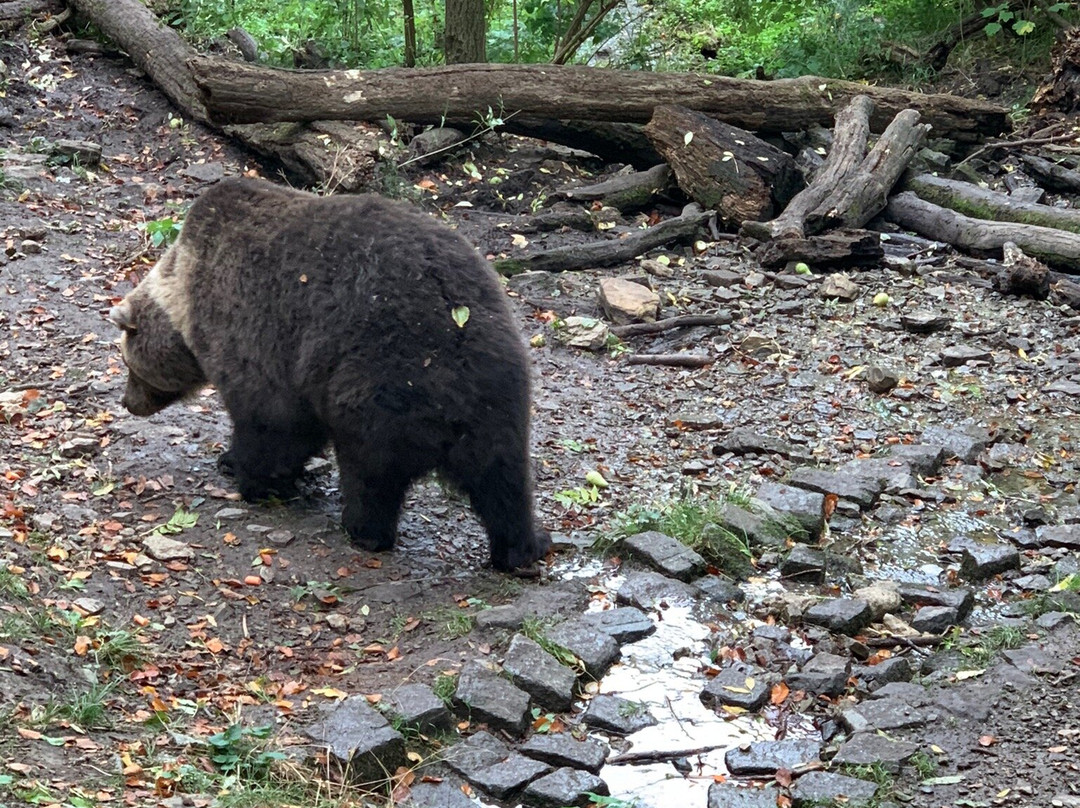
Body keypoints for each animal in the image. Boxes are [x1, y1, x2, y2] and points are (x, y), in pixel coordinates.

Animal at [111, 177, 548, 570]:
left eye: (129, 365)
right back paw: (522, 550)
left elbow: (271, 420)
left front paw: (247, 473)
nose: (128, 402)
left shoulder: (252, 326)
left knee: (372, 472)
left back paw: (364, 530)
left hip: (379, 381)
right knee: (503, 479)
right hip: (499, 393)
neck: (184, 291)